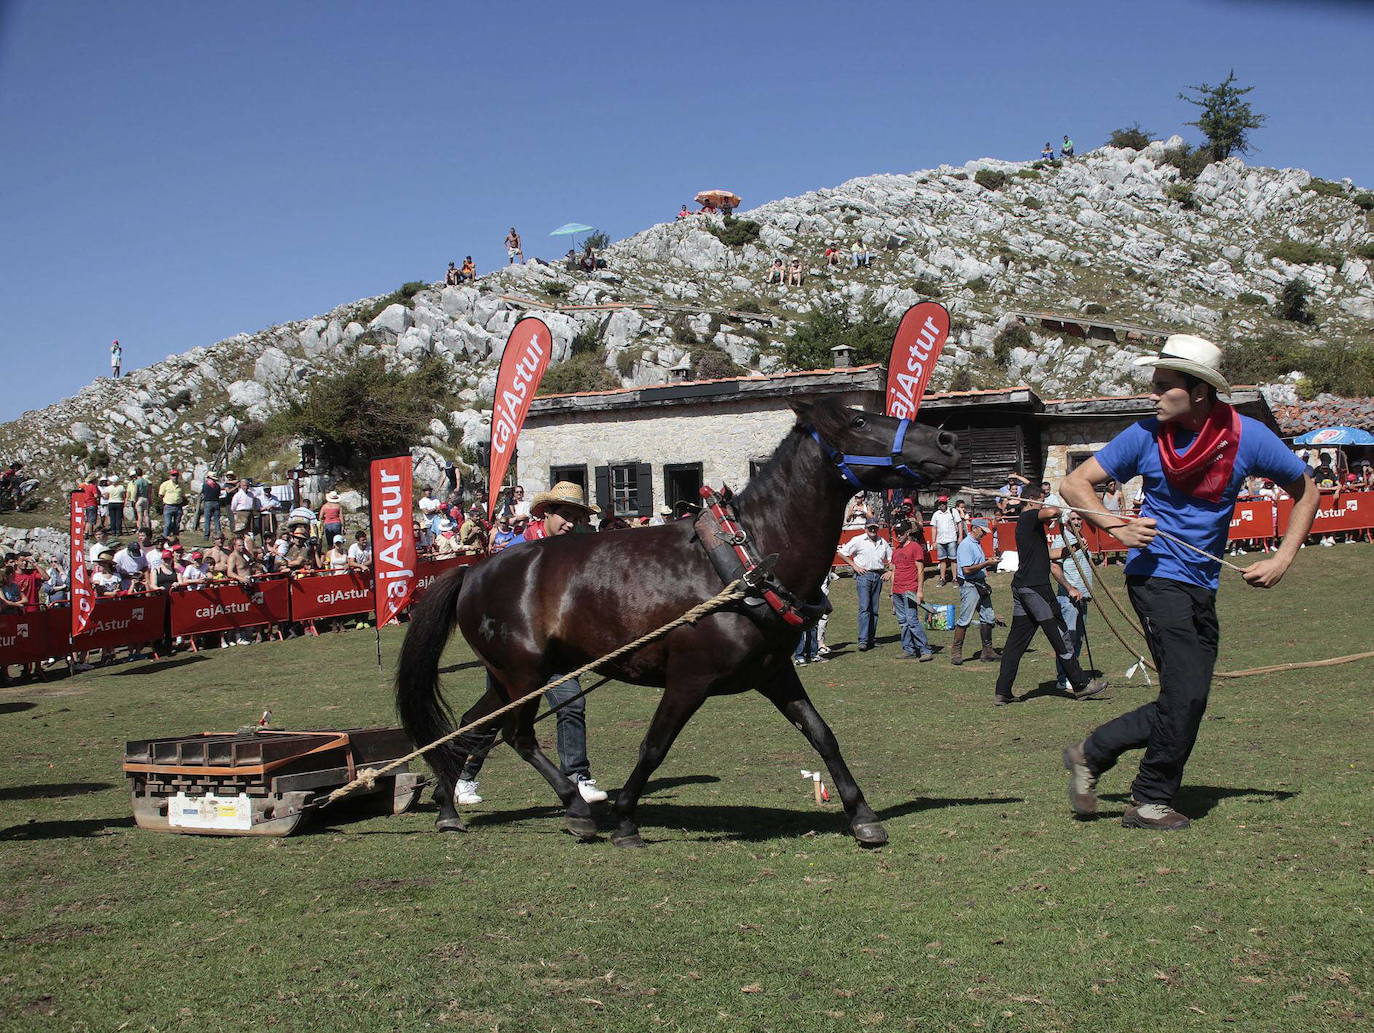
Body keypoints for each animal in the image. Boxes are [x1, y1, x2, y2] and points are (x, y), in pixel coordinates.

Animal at [395, 398, 956, 846]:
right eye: (859, 419)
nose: (946, 439)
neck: (746, 561)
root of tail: (473, 569)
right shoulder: (688, 681)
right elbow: (654, 747)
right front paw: (625, 819)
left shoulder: (776, 674)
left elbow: (822, 734)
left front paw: (862, 815)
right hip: (524, 675)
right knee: (517, 736)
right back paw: (575, 809)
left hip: (506, 678)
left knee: (469, 729)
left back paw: (448, 807)